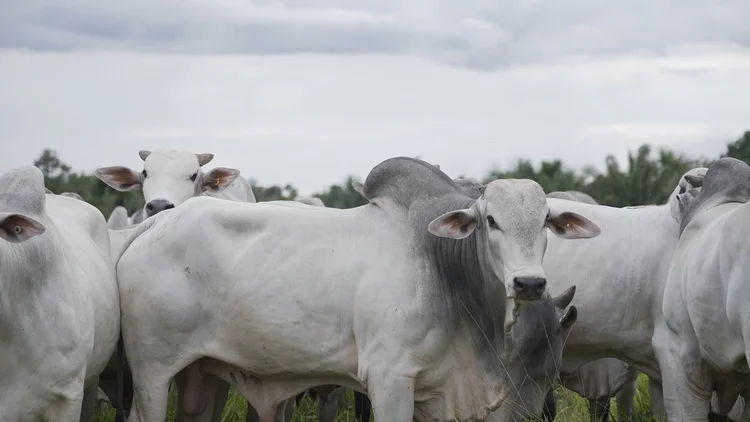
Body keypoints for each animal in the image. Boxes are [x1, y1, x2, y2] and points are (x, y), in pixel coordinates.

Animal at [114, 157, 604, 422]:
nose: (529, 282)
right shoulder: (390, 379)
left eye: (545, 220)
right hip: (153, 371)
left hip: (200, 373)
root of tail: (154, 224)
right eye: (490, 220)